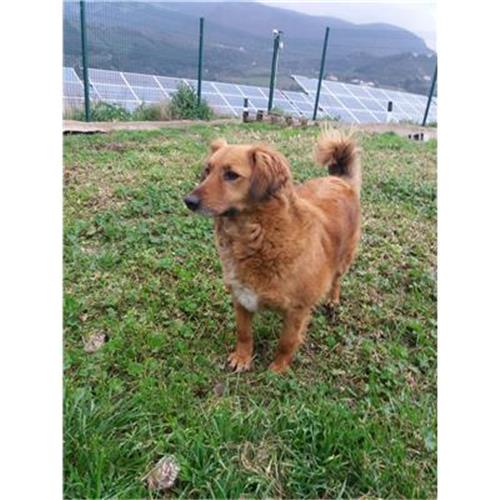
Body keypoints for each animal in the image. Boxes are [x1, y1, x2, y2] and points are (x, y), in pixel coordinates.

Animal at [184, 128, 361, 373]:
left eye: (231, 175)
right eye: (207, 171)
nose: (188, 201)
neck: (256, 237)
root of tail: (340, 180)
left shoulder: (298, 309)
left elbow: (286, 342)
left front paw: (278, 369)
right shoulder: (241, 297)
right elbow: (243, 333)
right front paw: (242, 358)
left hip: (344, 259)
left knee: (336, 279)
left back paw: (333, 300)